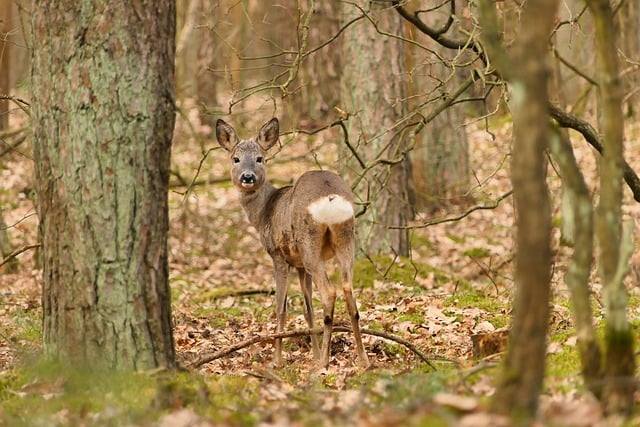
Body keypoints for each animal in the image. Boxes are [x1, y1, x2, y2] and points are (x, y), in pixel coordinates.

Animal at [218, 118, 370, 370]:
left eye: (260, 158)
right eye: (235, 158)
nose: (247, 177)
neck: (264, 212)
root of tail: (330, 197)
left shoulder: (278, 255)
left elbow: (281, 307)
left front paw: (277, 361)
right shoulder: (299, 265)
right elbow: (308, 310)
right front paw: (314, 354)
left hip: (310, 243)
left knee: (329, 291)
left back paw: (324, 364)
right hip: (346, 238)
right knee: (349, 290)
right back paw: (363, 360)